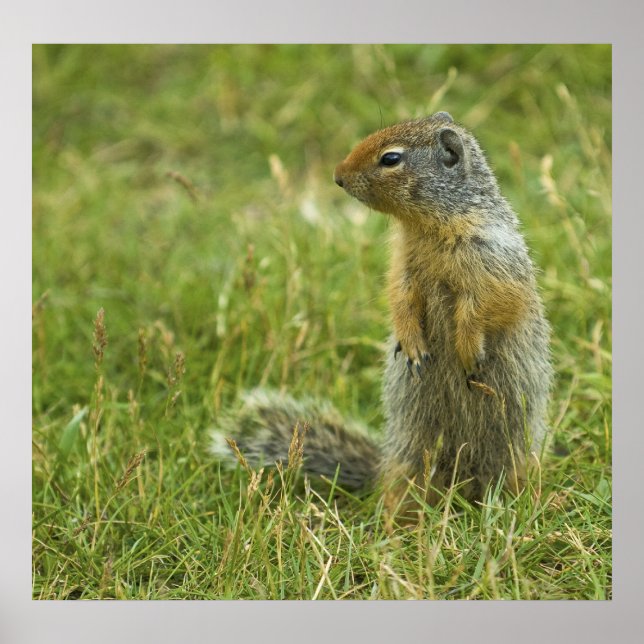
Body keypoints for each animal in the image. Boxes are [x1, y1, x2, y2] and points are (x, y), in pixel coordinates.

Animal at [211, 111, 553, 510]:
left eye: (390, 158)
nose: (338, 176)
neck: (427, 227)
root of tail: (460, 480)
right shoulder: (402, 266)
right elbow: (400, 300)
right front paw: (413, 347)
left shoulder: (492, 260)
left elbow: (485, 306)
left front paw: (469, 352)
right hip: (412, 454)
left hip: (512, 451)